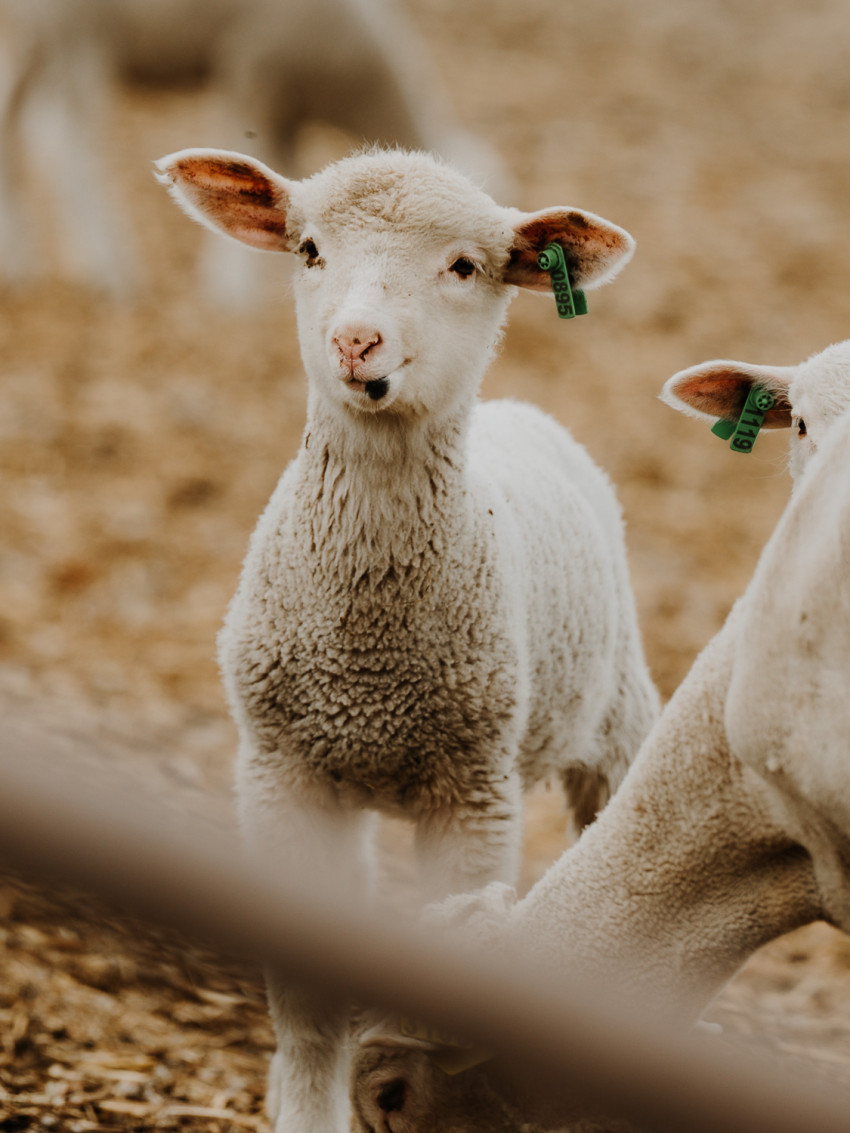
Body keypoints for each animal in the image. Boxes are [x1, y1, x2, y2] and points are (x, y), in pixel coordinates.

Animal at [0, 0, 505, 299]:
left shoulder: (284, 106)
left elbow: (289, 178)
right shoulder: (255, 69)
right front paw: (231, 290)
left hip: (36, 35)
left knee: (15, 117)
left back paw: (19, 263)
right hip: (77, 30)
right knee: (68, 136)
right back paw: (111, 268)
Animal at [155, 144, 659, 1133]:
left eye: (464, 266)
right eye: (309, 249)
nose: (357, 342)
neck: (369, 650)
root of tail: (519, 412)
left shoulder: (471, 786)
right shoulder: (281, 770)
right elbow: (310, 1008)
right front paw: (307, 1108)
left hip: (616, 715)